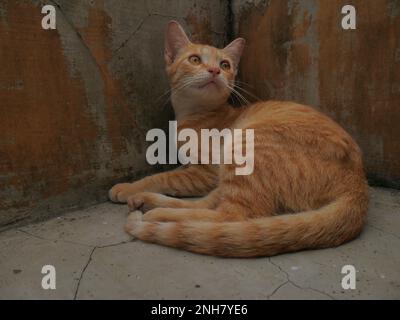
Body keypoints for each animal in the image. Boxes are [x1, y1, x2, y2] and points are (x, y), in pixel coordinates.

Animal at [108, 20, 368, 258]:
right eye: (195, 60)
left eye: (225, 65)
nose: (215, 71)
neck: (194, 114)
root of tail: (358, 184)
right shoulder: (201, 170)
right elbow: (175, 176)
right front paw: (135, 190)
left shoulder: (206, 171)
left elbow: (165, 177)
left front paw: (129, 187)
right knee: (210, 203)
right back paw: (146, 201)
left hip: (244, 149)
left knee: (231, 215)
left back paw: (159, 214)